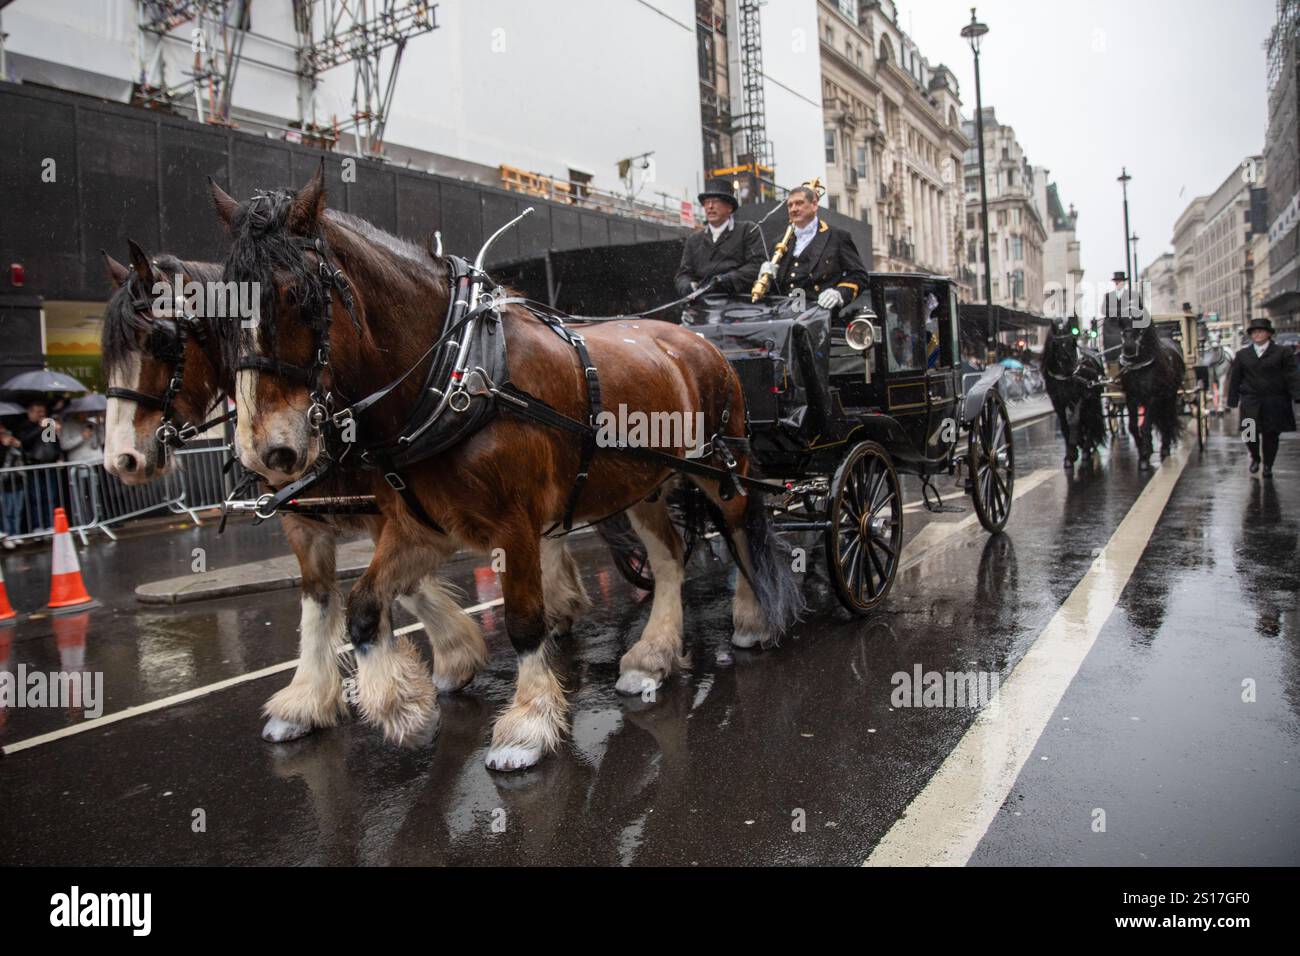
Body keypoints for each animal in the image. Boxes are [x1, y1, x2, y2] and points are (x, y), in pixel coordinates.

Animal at [96, 243, 483, 743]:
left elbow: (402, 588)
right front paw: (306, 700)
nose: (120, 460)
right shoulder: (303, 521)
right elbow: (319, 602)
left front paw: (445, 664)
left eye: (160, 343)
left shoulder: (394, 516)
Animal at [210, 170, 800, 770]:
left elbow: (521, 618)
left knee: (744, 530)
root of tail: (698, 340)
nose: (264, 452)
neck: (456, 371)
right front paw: (404, 706)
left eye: (296, 297)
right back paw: (652, 655)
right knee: (669, 556)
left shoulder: (512, 525)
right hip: (646, 486)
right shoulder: (420, 527)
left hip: (721, 467)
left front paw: (527, 723)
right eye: (221, 312)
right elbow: (360, 606)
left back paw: (753, 619)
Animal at [1040, 319, 1102, 468]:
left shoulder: (1082, 396)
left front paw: (1076, 446)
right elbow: (1064, 425)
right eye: (1055, 344)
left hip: (1093, 399)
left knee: (1090, 421)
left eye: (1072, 341)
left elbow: (1074, 421)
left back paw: (1086, 448)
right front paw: (1070, 454)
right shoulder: (1058, 402)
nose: (1071, 370)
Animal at [1112, 312, 1185, 465]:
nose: (1128, 347)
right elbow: (1133, 426)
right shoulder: (1131, 398)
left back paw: (1165, 448)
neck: (1139, 365)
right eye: (1120, 319)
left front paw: (1145, 456)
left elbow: (1145, 426)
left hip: (1170, 396)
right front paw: (1143, 451)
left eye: (1140, 319)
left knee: (1167, 419)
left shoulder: (1153, 397)